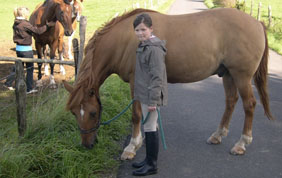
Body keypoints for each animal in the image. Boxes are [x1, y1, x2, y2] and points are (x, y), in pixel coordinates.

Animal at [61, 8, 274, 160]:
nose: (87, 145)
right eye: (74, 113)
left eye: (93, 113)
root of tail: (257, 22)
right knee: (230, 101)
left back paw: (241, 144)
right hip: (228, 74)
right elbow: (147, 111)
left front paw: (132, 146)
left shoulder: (135, 81)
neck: (126, 39)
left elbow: (136, 114)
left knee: (249, 105)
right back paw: (218, 135)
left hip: (241, 76)